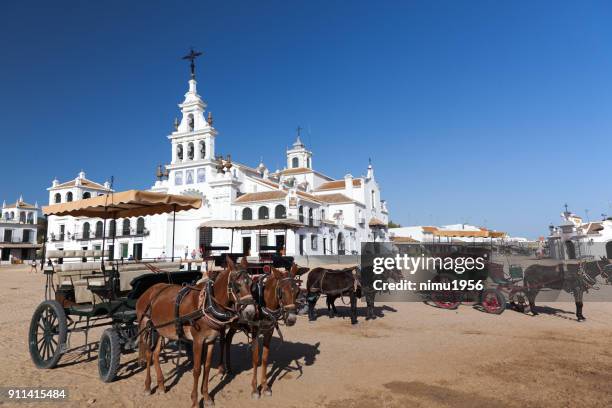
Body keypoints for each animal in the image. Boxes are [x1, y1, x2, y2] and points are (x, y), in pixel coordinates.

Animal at [136, 256, 256, 406]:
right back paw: (147, 386)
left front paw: (206, 397)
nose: (250, 312)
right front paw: (195, 401)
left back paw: (162, 385)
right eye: (236, 285)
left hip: (162, 331)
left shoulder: (210, 341)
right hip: (148, 326)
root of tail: (151, 290)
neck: (207, 304)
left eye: (251, 283)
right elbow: (197, 370)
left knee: (156, 354)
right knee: (148, 353)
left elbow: (207, 367)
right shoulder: (198, 341)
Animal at [219, 264, 300, 398]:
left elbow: (265, 358)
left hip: (234, 325)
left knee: (228, 339)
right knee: (221, 341)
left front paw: (265, 386)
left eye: (298, 291)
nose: (292, 319)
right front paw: (255, 389)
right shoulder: (255, 332)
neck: (263, 304)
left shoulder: (269, 331)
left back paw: (229, 368)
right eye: (281, 292)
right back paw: (221, 369)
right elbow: (256, 358)